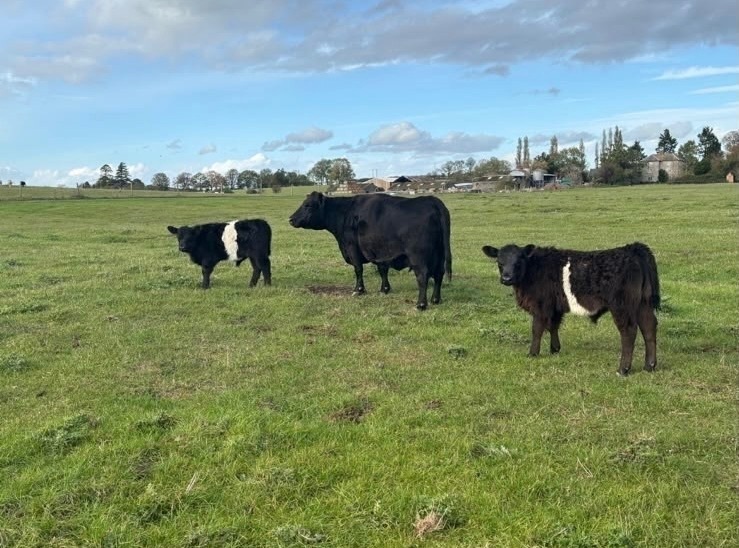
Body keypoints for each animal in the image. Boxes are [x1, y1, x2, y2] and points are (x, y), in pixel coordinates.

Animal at [289, 192, 452, 310]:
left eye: (308, 205)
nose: (291, 219)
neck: (345, 212)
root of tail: (431, 200)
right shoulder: (380, 252)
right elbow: (382, 270)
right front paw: (384, 289)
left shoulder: (352, 248)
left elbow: (358, 269)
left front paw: (359, 290)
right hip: (440, 255)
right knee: (439, 274)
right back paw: (435, 299)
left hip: (418, 256)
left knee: (423, 276)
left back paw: (421, 304)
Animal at [481, 242, 660, 376]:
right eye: (499, 261)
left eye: (519, 261)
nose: (506, 278)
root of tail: (632, 249)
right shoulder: (554, 307)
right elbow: (553, 326)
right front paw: (554, 349)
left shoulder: (541, 306)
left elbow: (537, 329)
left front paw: (533, 353)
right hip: (643, 303)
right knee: (649, 327)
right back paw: (649, 366)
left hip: (622, 306)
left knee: (629, 332)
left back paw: (623, 369)